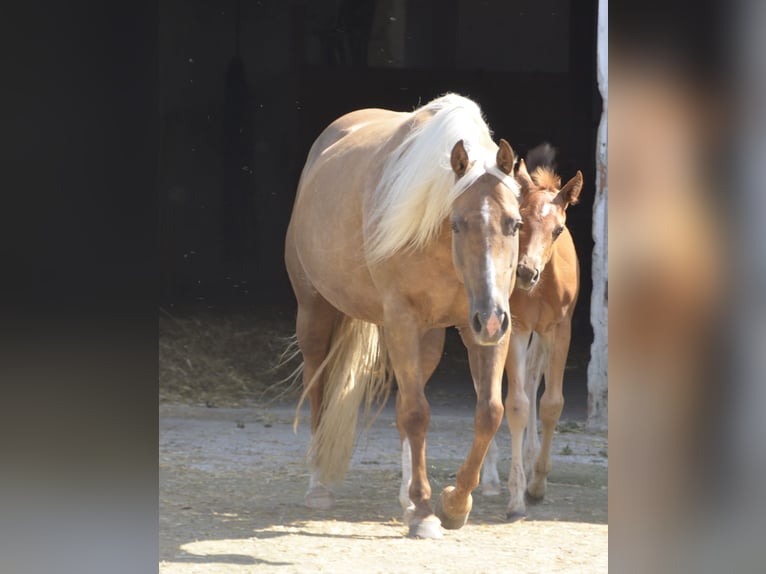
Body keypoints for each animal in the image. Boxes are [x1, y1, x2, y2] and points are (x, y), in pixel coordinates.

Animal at [284, 94, 524, 540]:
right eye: (457, 223)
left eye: (514, 223)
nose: (492, 318)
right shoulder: (403, 322)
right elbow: (416, 413)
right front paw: (427, 511)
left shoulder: (482, 328)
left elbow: (488, 412)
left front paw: (453, 504)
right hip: (315, 313)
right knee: (318, 388)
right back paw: (320, 483)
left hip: (429, 337)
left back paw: (407, 499)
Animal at [480, 147, 588, 520]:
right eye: (521, 223)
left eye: (558, 229)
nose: (526, 272)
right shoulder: (516, 327)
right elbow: (516, 404)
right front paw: (516, 497)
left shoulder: (559, 329)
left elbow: (551, 403)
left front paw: (537, 483)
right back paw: (491, 479)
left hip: (541, 337)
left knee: (531, 375)